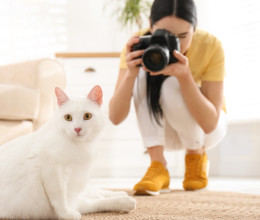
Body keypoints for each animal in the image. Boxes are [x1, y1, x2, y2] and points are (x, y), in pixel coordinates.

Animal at [0, 85, 136, 219]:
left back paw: (122, 193)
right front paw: (66, 214)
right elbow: (60, 198)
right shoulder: (53, 173)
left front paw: (123, 202)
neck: (79, 148)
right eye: (68, 117)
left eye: (87, 116)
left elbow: (97, 202)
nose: (77, 128)